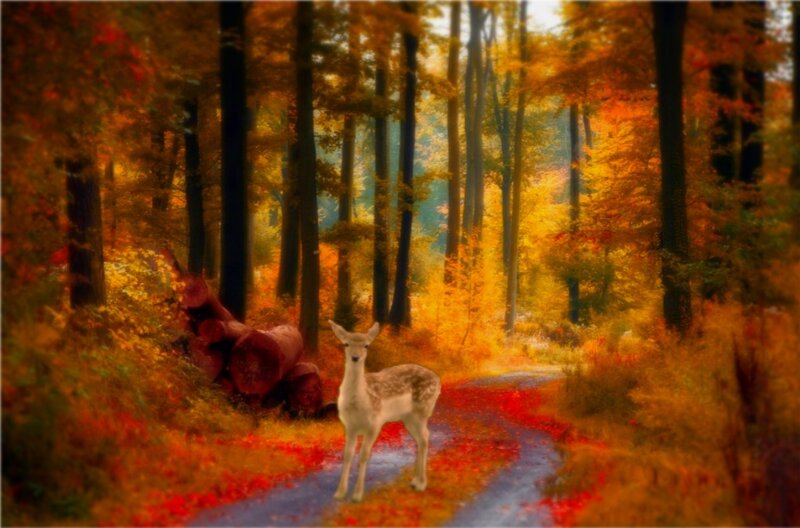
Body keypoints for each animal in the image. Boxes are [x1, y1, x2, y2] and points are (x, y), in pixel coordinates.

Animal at [328, 320, 442, 502]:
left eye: (366, 345)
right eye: (346, 343)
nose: (355, 357)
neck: (359, 403)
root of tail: (438, 381)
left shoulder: (374, 424)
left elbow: (364, 455)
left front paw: (357, 495)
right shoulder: (350, 426)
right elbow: (347, 455)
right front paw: (340, 493)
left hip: (423, 410)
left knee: (425, 437)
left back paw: (421, 484)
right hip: (409, 418)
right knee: (421, 438)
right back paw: (415, 482)